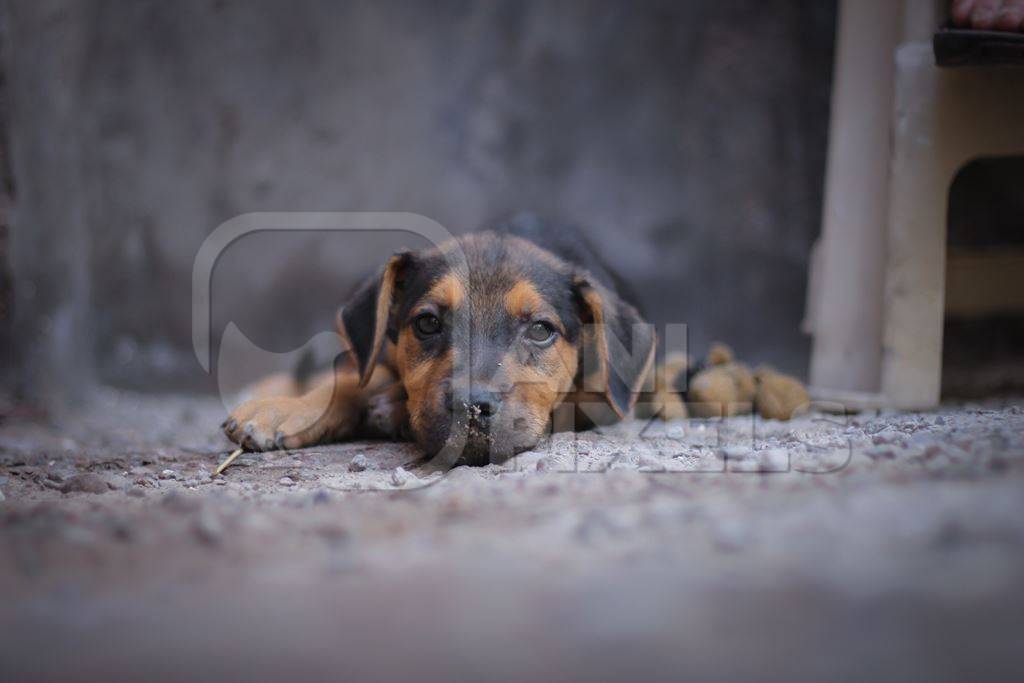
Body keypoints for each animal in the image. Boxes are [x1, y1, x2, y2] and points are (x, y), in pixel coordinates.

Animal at [222, 216, 655, 466]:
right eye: (428, 323)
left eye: (540, 330)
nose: (471, 407)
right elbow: (349, 380)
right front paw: (282, 411)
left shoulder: (606, 400)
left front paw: (391, 408)